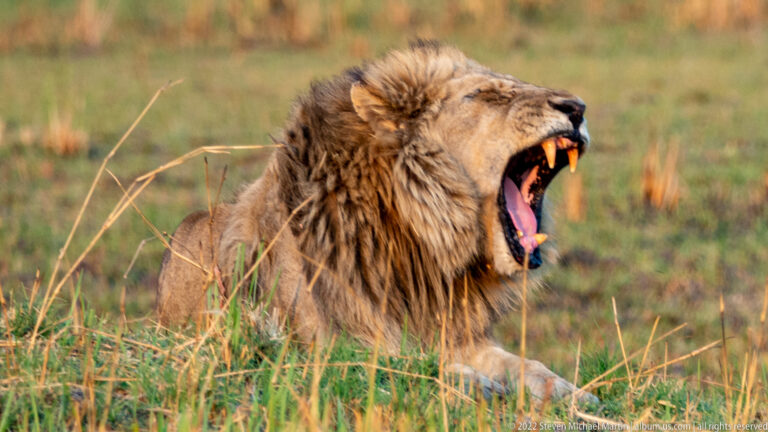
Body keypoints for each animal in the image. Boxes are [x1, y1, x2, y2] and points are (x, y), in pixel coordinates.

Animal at [157, 41, 596, 403]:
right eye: (485, 96)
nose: (577, 108)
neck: (420, 246)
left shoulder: (452, 332)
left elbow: (523, 363)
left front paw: (571, 391)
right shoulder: (320, 345)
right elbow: (401, 363)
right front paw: (476, 383)